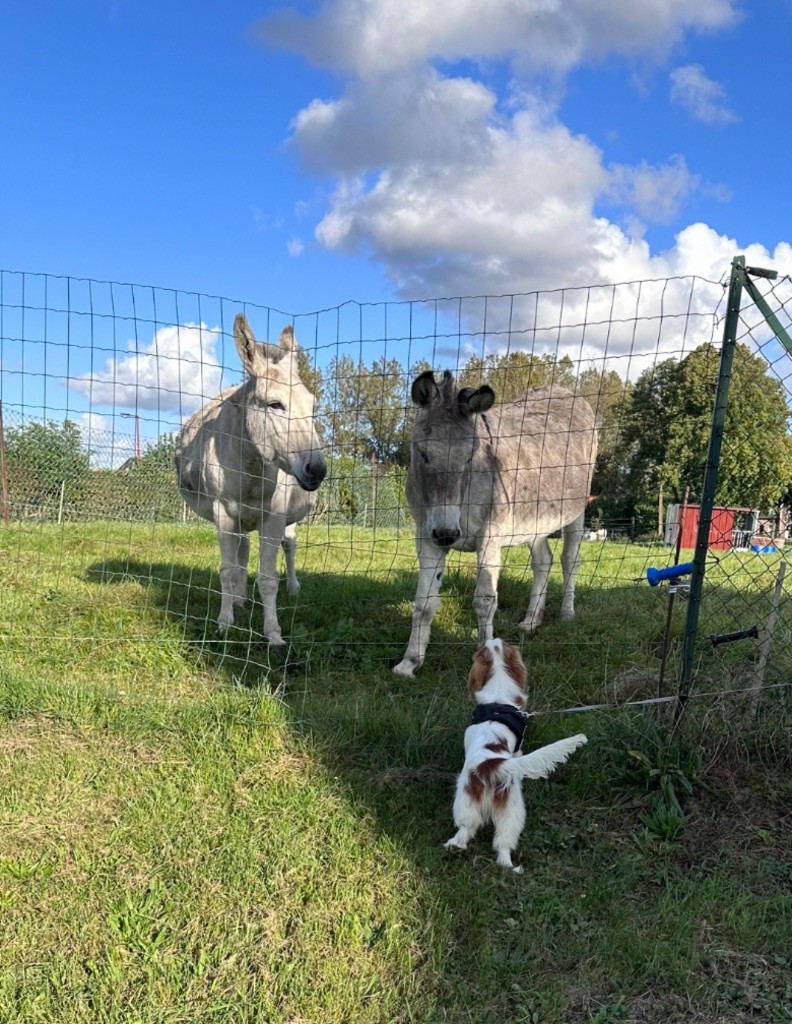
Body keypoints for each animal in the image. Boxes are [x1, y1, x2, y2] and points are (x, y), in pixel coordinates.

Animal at [444, 638, 586, 872]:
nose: (491, 638)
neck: (499, 696)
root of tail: (491, 765)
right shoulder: (519, 749)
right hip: (509, 808)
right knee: (497, 841)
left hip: (476, 804)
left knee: (473, 832)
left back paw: (457, 847)